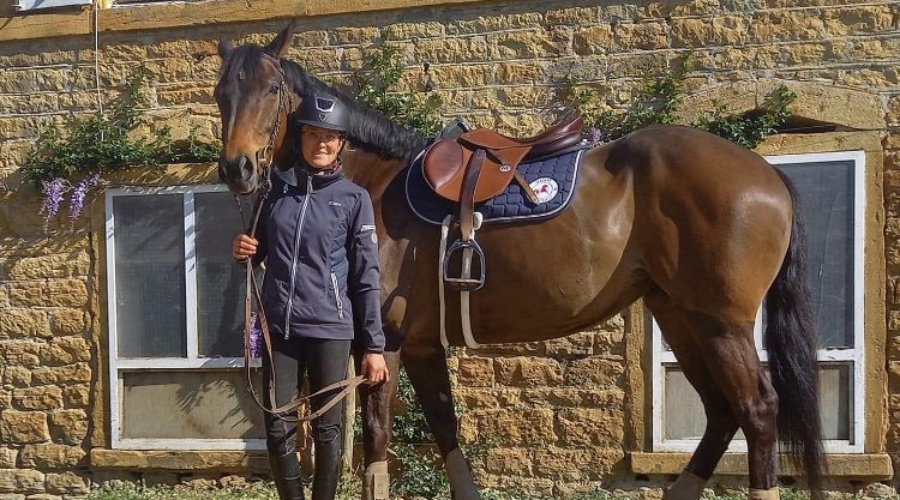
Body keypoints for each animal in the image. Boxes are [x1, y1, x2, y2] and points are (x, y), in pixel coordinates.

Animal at [214, 23, 825, 500]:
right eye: (221, 93)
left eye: (272, 88)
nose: (238, 168)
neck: (373, 186)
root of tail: (767, 174)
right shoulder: (421, 345)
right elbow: (446, 430)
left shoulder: (383, 344)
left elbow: (378, 442)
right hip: (679, 314)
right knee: (722, 413)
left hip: (720, 322)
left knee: (757, 412)